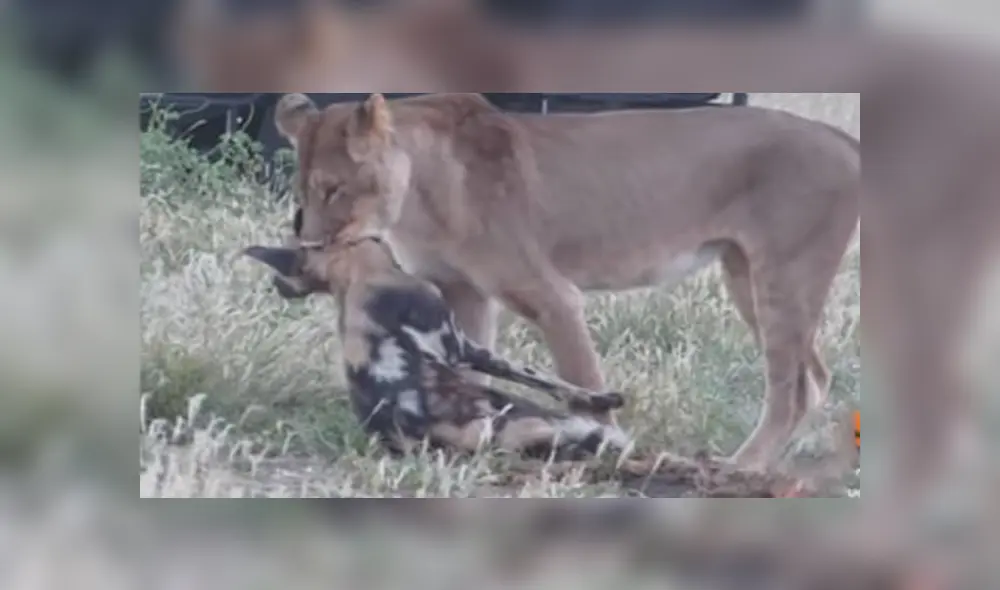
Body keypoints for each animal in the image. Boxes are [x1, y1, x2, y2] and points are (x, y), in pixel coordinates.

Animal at [268, 91, 860, 471]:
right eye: (301, 196)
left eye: (334, 189)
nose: (310, 249)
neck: (418, 195)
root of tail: (840, 135)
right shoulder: (464, 294)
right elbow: (471, 372)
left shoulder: (554, 297)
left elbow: (585, 386)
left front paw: (606, 448)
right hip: (746, 276)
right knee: (814, 377)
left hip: (784, 274)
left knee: (791, 387)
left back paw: (743, 466)